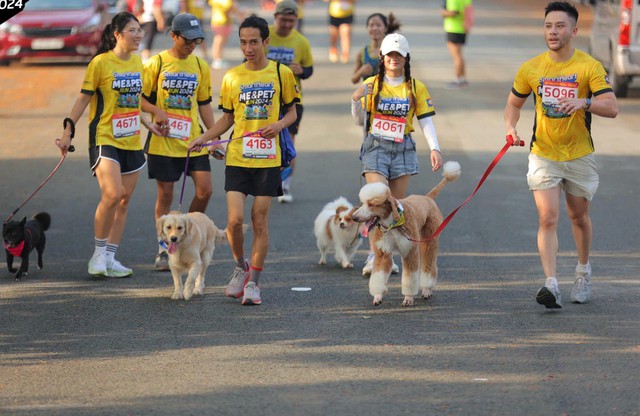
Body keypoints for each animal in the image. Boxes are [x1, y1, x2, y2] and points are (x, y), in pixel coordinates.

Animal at [352, 161, 462, 308]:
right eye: (363, 203)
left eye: (371, 204)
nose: (354, 217)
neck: (392, 224)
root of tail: (427, 198)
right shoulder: (383, 252)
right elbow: (378, 276)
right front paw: (377, 296)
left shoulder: (410, 251)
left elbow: (410, 277)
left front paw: (408, 298)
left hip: (429, 238)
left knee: (429, 263)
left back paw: (426, 289)